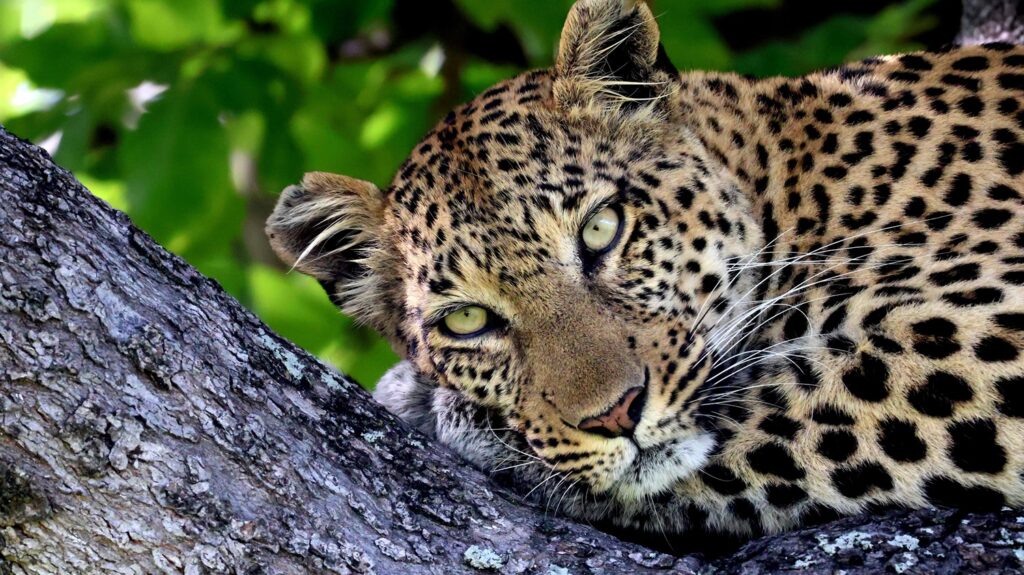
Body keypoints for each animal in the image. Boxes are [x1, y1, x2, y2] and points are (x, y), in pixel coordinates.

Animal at [266, 0, 1024, 540]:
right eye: (468, 319)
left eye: (601, 228)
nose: (617, 414)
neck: (796, 182)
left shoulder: (988, 334)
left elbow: (774, 415)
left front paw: (447, 416)